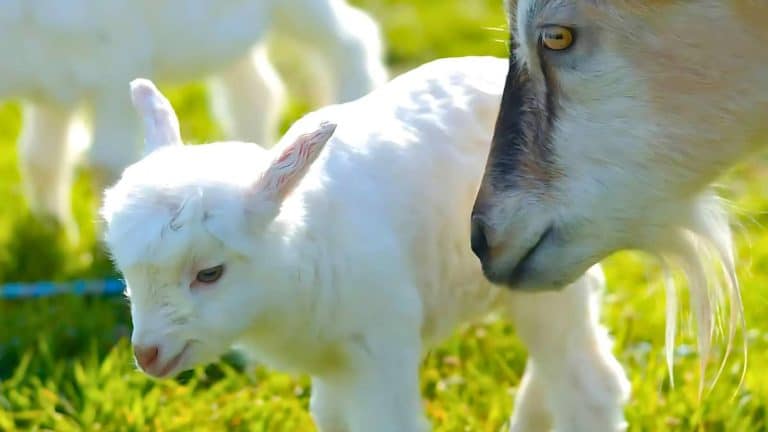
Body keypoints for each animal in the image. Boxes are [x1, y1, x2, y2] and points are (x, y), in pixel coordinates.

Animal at [4, 0, 386, 236]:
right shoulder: (52, 88)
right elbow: (40, 159)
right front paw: (53, 230)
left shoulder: (115, 69)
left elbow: (106, 163)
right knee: (257, 91)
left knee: (352, 38)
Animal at [101, 57, 629, 432]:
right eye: (126, 273)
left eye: (209, 273)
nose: (146, 355)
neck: (305, 246)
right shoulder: (334, 364)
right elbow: (332, 418)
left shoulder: (381, 344)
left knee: (590, 383)